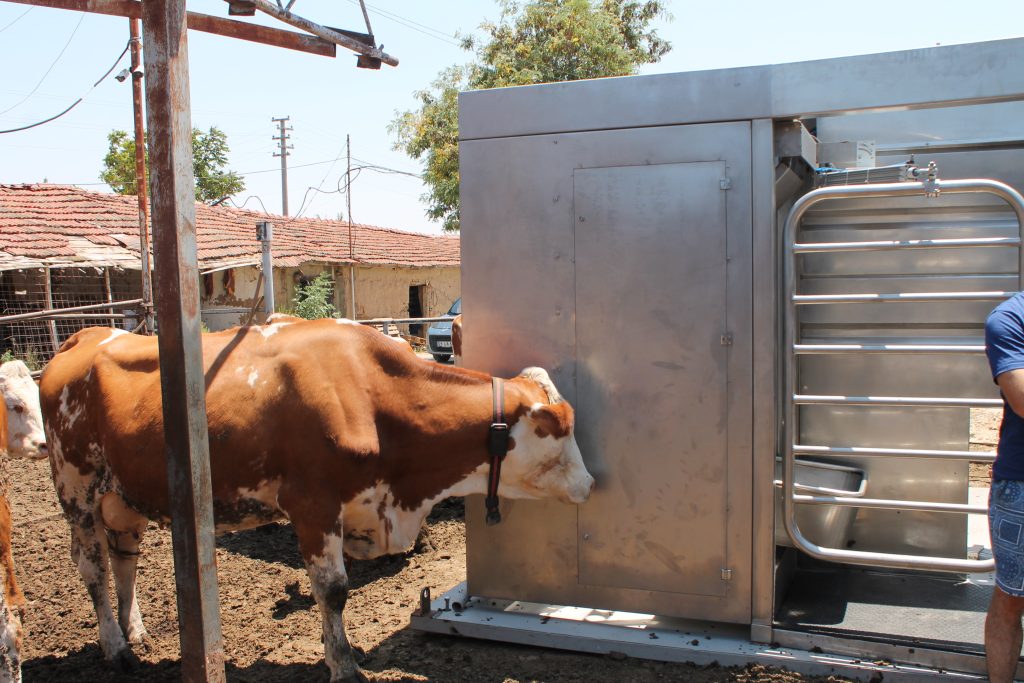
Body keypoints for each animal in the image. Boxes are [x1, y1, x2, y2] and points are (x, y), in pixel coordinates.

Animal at [40, 319, 594, 682]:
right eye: (557, 428)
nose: (591, 484)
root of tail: (86, 336)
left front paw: (336, 654)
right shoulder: (311, 504)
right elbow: (333, 590)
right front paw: (344, 666)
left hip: (123, 496)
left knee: (125, 559)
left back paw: (134, 631)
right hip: (76, 490)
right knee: (94, 568)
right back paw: (115, 648)